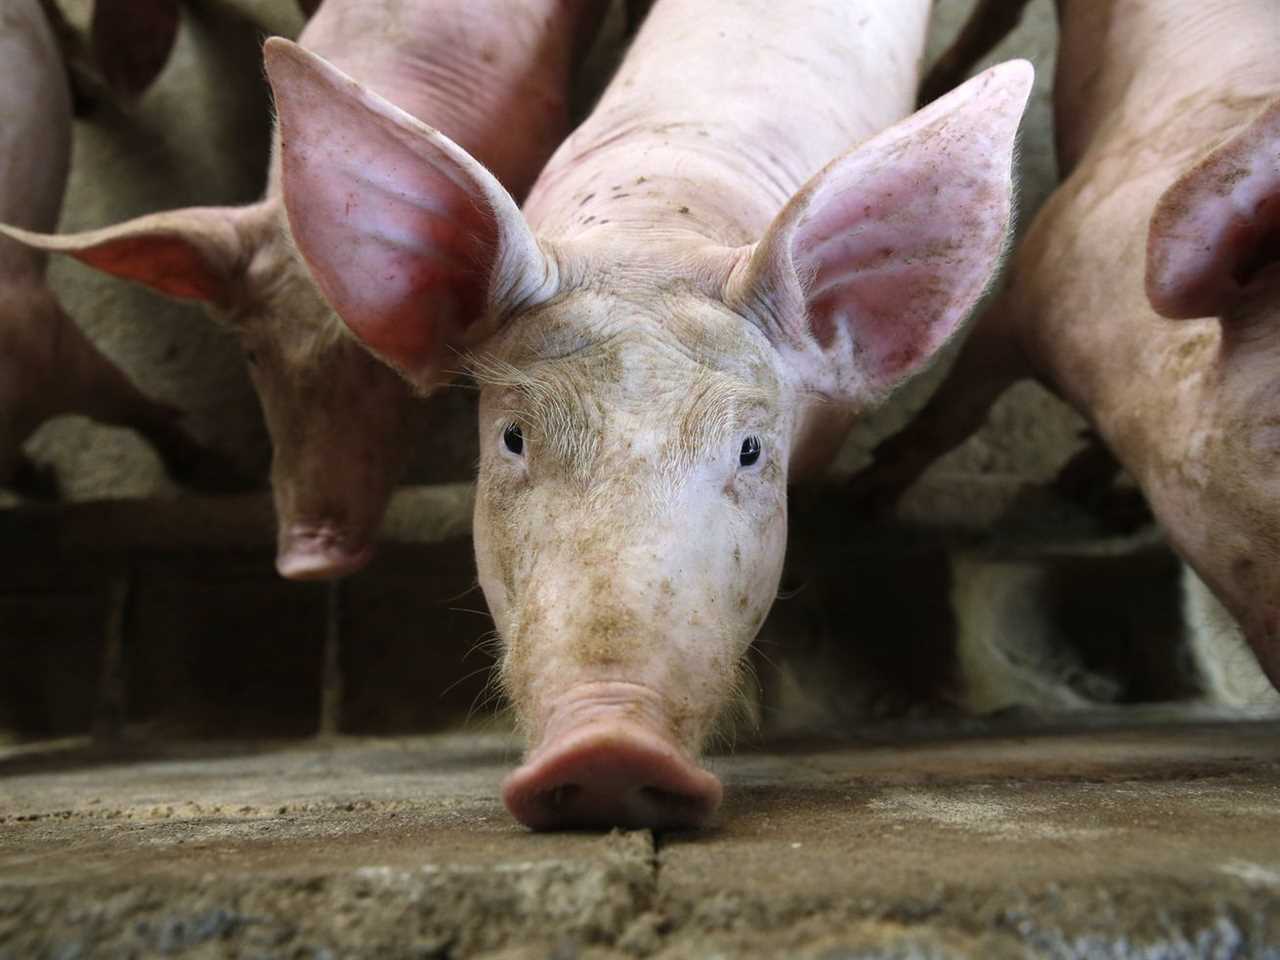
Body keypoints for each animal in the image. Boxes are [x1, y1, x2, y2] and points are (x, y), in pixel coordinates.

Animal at [849, 0, 1280, 691]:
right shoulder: (1031, 285)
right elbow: (955, 418)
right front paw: (862, 502)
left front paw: (1086, 494)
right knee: (995, 18)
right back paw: (936, 86)